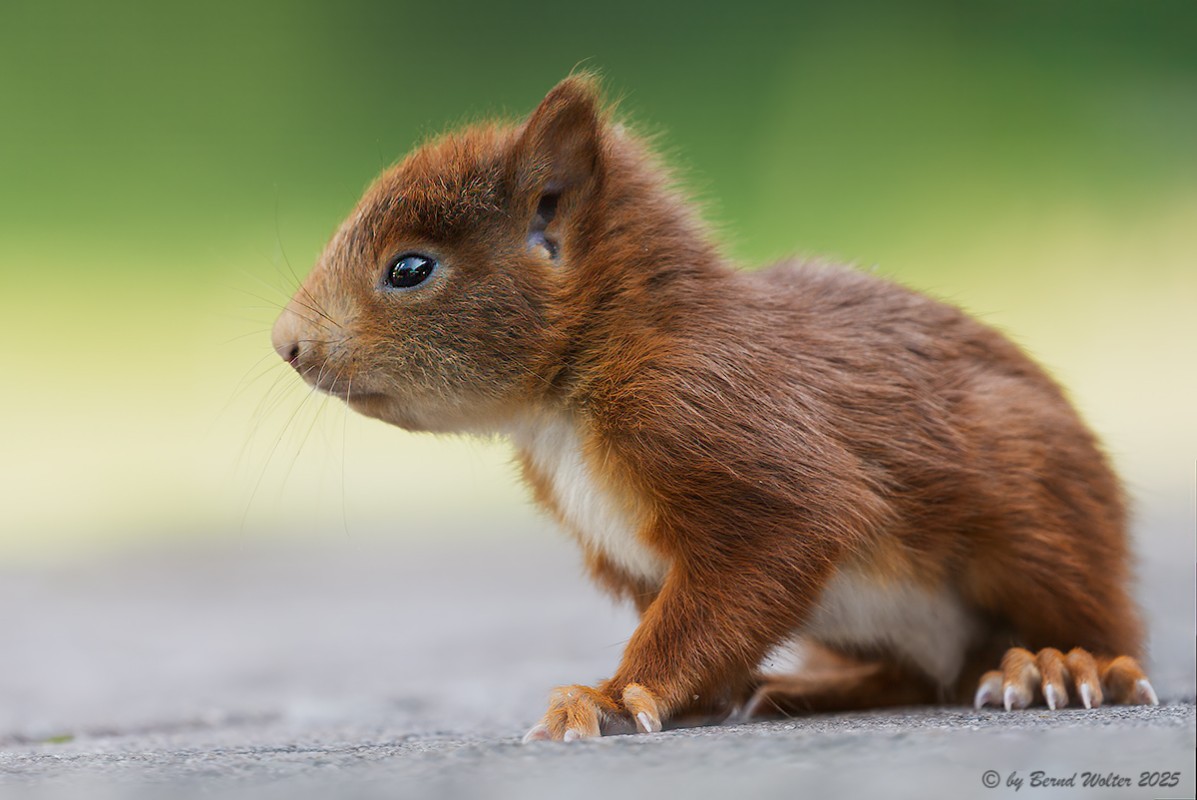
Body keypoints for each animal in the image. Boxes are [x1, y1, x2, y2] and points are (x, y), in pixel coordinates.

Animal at [271, 74, 1158, 742]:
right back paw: (813, 690)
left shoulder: (714, 422)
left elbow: (739, 578)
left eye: (410, 269)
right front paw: (681, 698)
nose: (285, 343)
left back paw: (1057, 665)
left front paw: (611, 699)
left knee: (1098, 632)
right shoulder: (629, 556)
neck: (565, 402)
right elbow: (699, 626)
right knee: (916, 675)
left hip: (1036, 514)